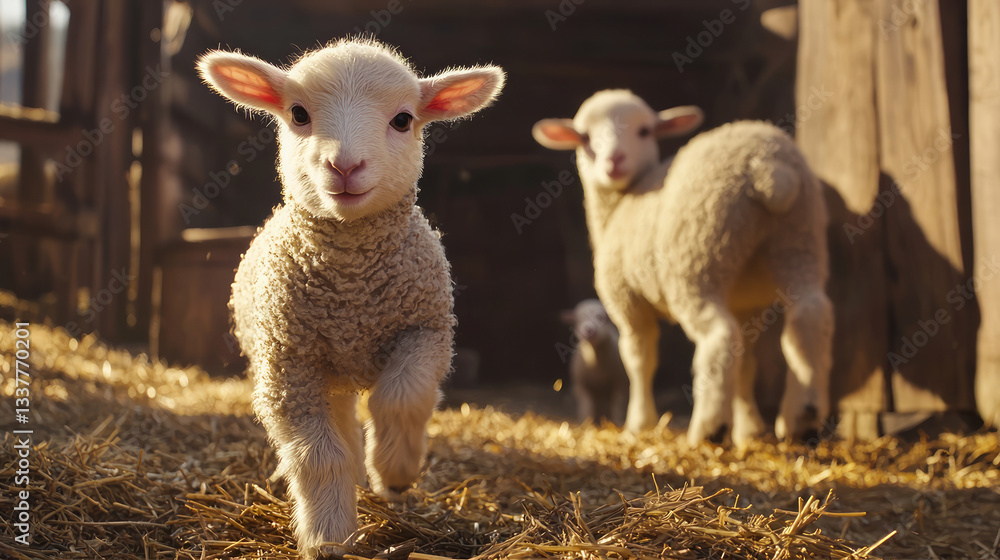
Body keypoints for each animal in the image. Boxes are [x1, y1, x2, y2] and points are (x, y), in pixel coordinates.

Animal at [198, 38, 503, 558]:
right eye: (298, 113)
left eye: (403, 119)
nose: (344, 166)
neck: (351, 292)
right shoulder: (288, 366)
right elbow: (318, 455)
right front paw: (328, 535)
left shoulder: (424, 331)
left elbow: (401, 397)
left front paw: (395, 472)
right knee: (338, 426)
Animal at [533, 89, 833, 447]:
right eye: (585, 137)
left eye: (644, 131)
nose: (614, 161)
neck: (618, 204)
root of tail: (769, 169)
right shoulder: (745, 304)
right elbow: (746, 364)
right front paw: (749, 430)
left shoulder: (626, 301)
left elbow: (638, 359)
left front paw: (639, 423)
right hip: (800, 241)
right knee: (809, 317)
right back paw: (802, 418)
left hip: (695, 260)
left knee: (719, 336)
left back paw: (709, 429)